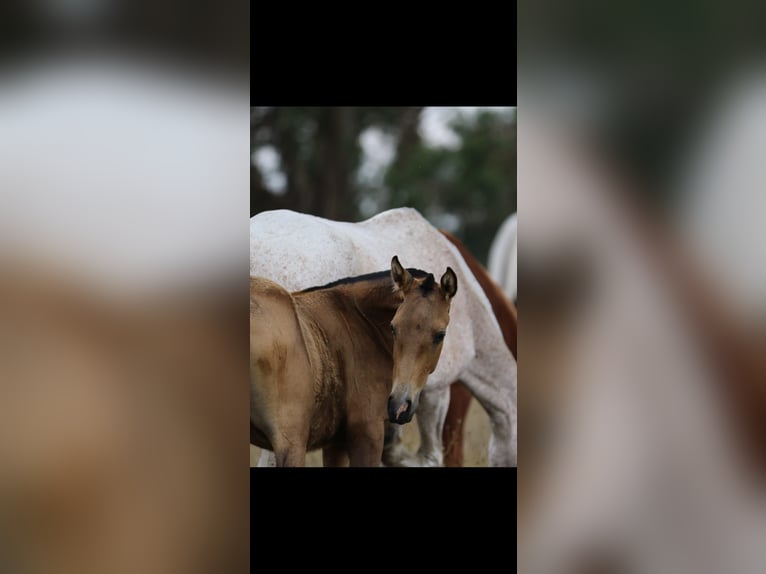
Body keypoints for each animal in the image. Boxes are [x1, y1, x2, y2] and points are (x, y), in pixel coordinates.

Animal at [250, 258, 456, 470]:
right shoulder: (368, 432)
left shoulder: (336, 444)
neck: (359, 319)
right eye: (393, 327)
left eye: (440, 335)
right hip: (291, 445)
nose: (400, 406)